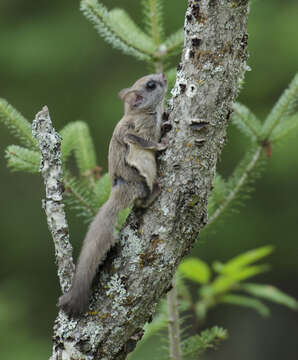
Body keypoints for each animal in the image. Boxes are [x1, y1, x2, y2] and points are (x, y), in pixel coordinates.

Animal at [59, 74, 169, 316]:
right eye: (150, 85)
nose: (165, 76)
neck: (138, 111)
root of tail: (119, 191)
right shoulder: (138, 130)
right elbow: (145, 140)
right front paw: (162, 144)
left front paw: (166, 122)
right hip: (144, 169)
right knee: (144, 198)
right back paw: (156, 190)